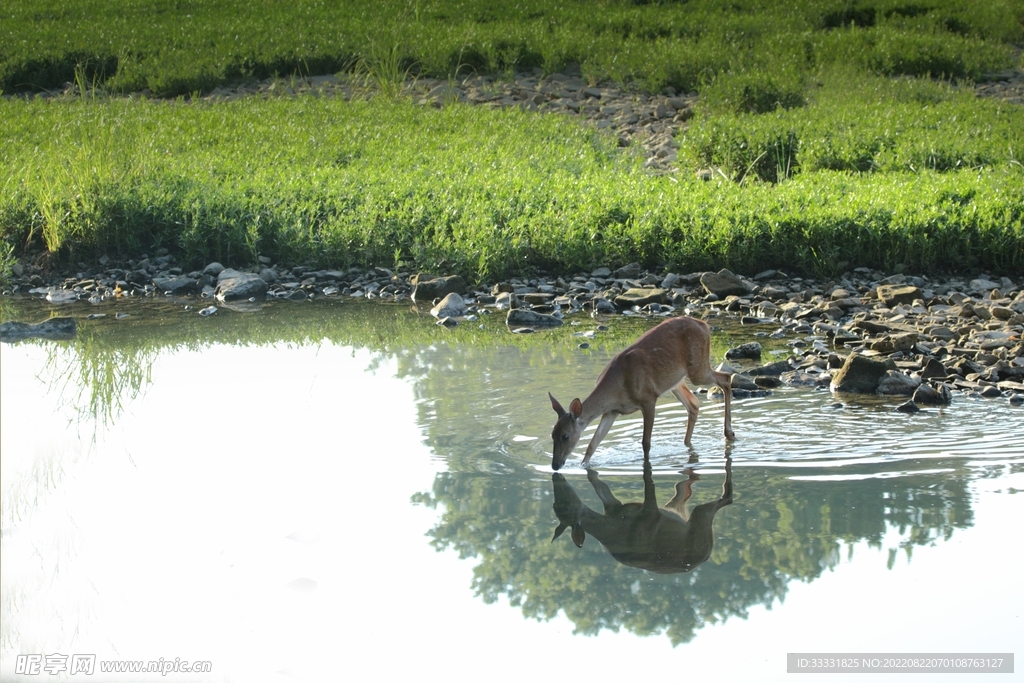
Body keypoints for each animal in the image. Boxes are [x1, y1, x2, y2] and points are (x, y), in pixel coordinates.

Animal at [548, 315, 733, 471]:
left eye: (565, 436)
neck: (617, 388)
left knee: (725, 378)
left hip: (698, 369)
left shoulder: (648, 398)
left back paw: (729, 433)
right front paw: (583, 465)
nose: (555, 465)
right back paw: (687, 445)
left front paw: (646, 466)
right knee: (694, 403)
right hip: (675, 381)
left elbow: (646, 443)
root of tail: (705, 325)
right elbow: (592, 444)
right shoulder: (611, 411)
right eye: (552, 434)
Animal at [552, 458, 734, 574]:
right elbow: (598, 484)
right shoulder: (615, 507)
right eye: (555, 507)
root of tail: (707, 555)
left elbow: (648, 483)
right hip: (688, 515)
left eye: (566, 506)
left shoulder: (649, 513)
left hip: (698, 520)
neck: (610, 527)